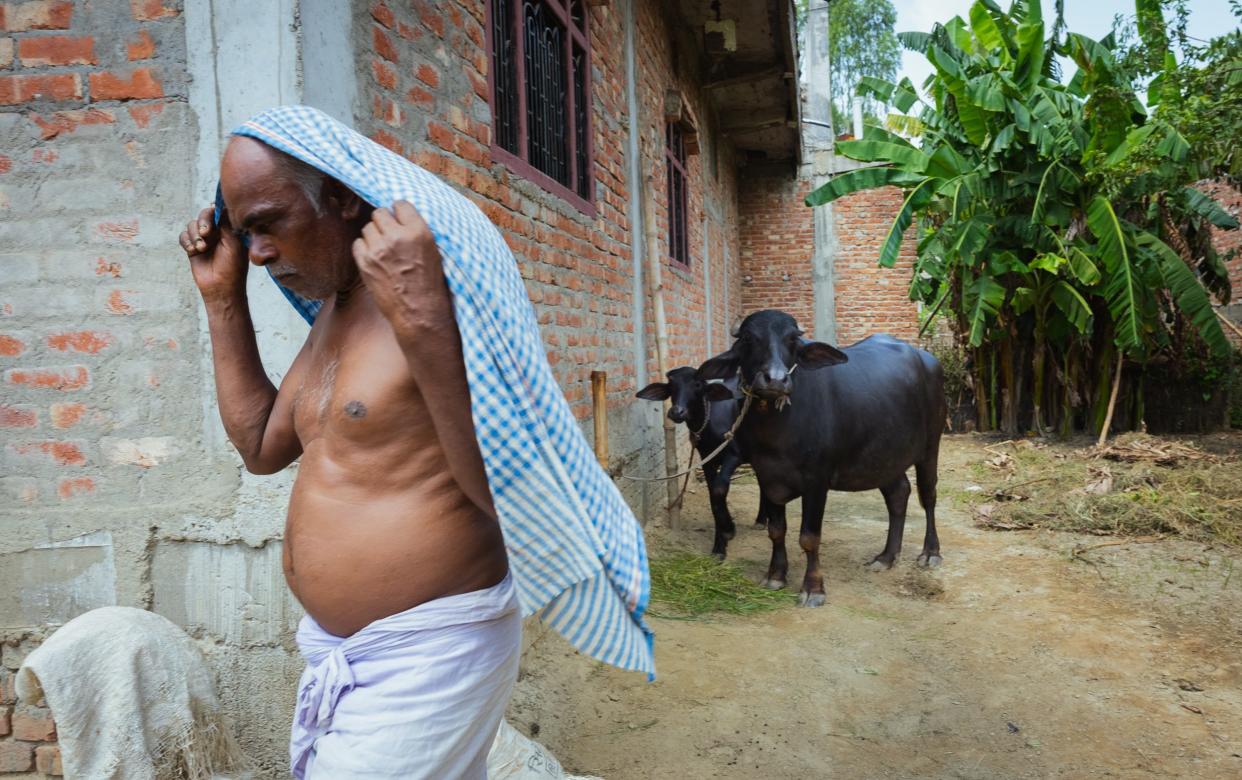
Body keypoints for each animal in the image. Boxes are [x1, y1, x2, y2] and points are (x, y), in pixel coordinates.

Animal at [640, 367, 765, 556]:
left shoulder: (733, 456)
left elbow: (719, 490)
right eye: (671, 385)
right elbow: (713, 497)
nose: (677, 412)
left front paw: (729, 529)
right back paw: (761, 519)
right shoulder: (707, 460)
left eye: (697, 385)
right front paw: (719, 547)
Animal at [700, 308, 938, 606]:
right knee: (898, 495)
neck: (777, 428)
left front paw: (813, 589)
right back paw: (886, 557)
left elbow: (809, 537)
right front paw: (775, 575)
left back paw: (930, 553)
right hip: (885, 459)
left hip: (930, 448)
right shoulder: (766, 476)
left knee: (928, 497)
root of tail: (928, 360)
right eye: (747, 338)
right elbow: (776, 531)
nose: (776, 379)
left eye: (792, 339)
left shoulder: (816, 481)